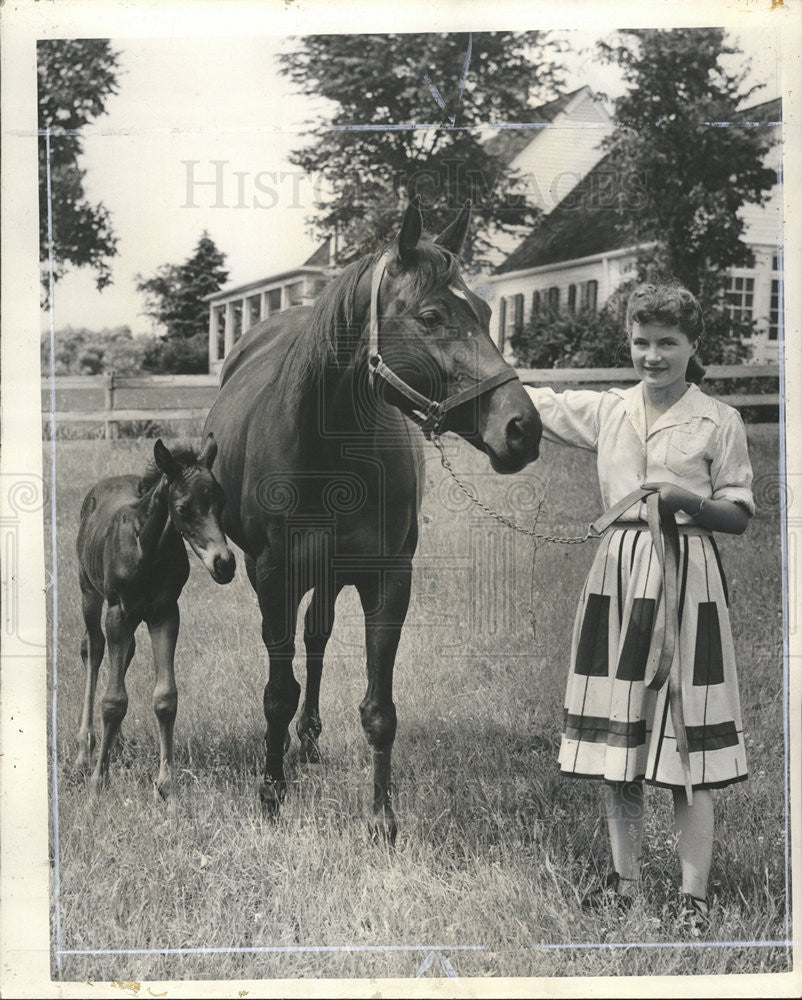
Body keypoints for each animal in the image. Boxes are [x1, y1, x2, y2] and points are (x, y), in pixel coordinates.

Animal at [75, 434, 234, 800]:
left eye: (221, 502)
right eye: (183, 508)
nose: (225, 563)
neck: (147, 548)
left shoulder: (165, 613)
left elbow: (165, 698)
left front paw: (166, 785)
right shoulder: (118, 613)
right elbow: (112, 699)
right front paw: (98, 783)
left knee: (124, 654)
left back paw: (117, 745)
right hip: (89, 593)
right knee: (93, 650)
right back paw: (84, 750)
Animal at [203, 199, 540, 840]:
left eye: (488, 312)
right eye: (431, 316)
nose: (522, 429)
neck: (326, 448)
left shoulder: (387, 579)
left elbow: (379, 709)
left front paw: (382, 818)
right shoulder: (273, 578)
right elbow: (277, 692)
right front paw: (271, 794)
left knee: (318, 637)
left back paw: (309, 742)